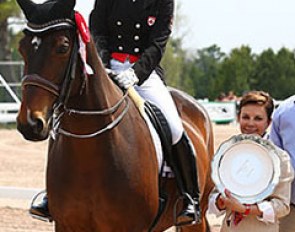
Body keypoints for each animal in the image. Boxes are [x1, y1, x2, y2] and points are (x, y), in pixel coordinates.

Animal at [16, 0, 214, 230]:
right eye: (21, 48)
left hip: (196, 217)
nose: (30, 123)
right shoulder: (65, 225)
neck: (88, 155)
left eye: (63, 47)